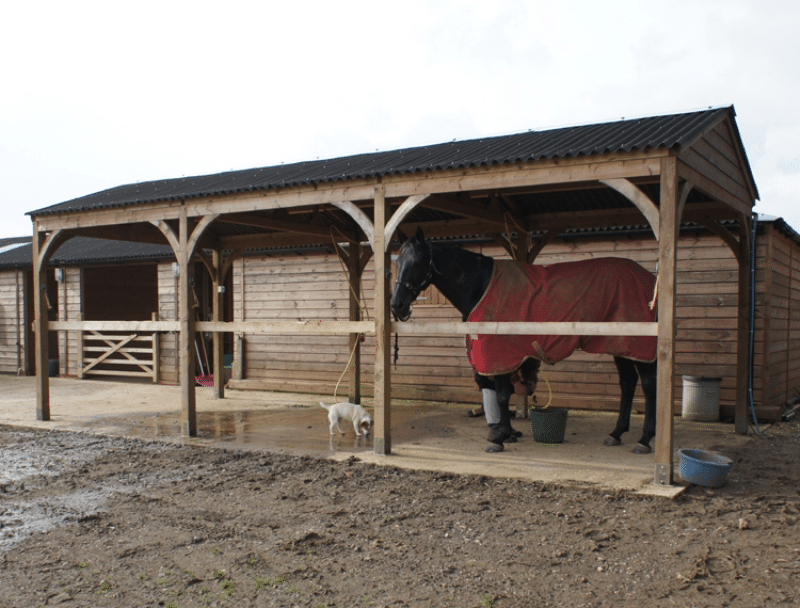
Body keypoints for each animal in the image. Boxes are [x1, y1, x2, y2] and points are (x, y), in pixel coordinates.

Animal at [390, 228, 660, 452]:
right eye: (398, 261)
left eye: (417, 262)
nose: (397, 305)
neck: (481, 285)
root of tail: (650, 281)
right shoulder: (504, 357)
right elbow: (503, 392)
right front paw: (507, 433)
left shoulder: (498, 353)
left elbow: (501, 394)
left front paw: (499, 439)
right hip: (620, 345)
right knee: (628, 383)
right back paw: (616, 434)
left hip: (637, 345)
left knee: (648, 385)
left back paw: (645, 440)